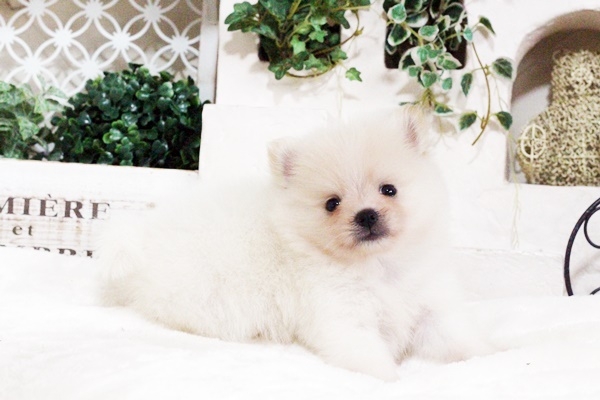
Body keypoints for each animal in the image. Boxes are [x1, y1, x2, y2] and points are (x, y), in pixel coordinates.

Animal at [98, 107, 491, 381]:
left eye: (389, 190)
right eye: (331, 203)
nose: (365, 215)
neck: (379, 268)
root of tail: (145, 239)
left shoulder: (430, 308)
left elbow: (458, 340)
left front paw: (488, 354)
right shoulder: (343, 318)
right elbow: (369, 358)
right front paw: (392, 381)